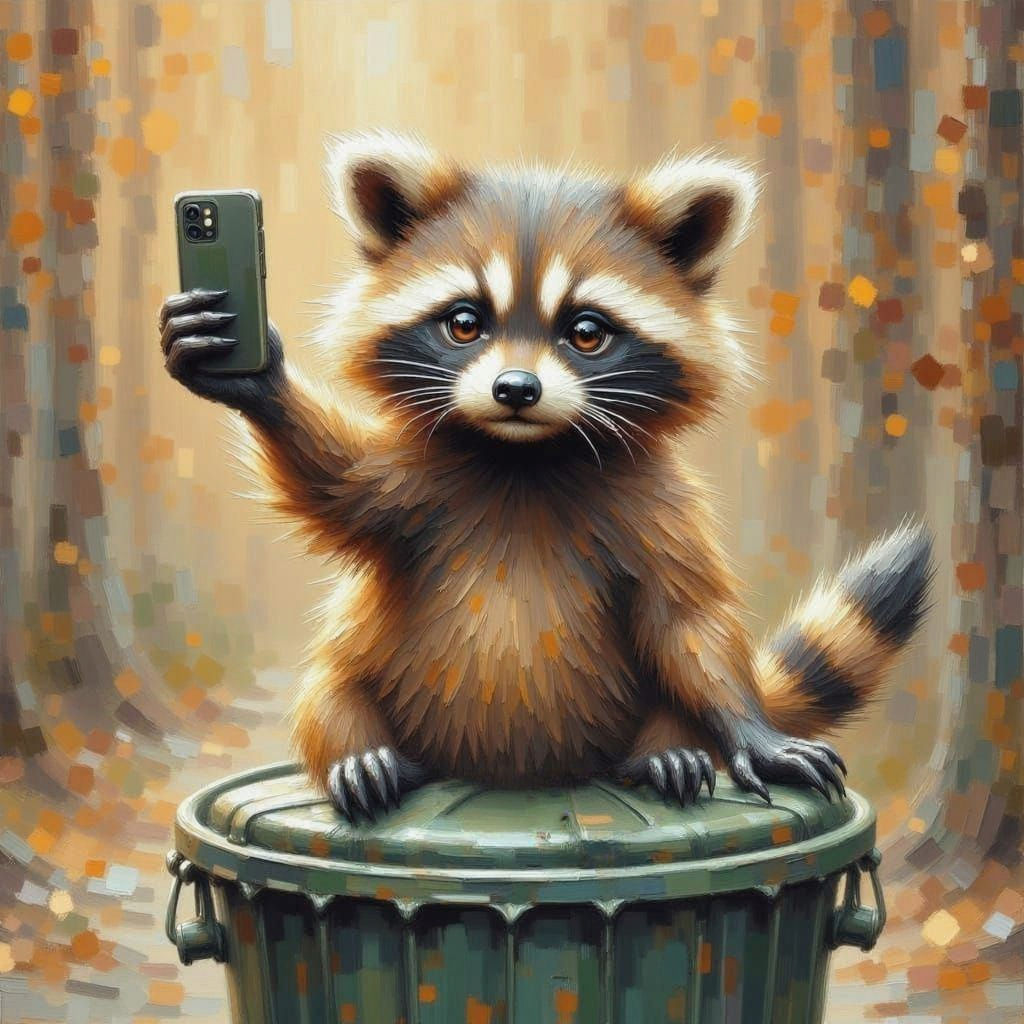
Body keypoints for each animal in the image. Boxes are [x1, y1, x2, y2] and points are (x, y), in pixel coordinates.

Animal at [159, 130, 932, 820]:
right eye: (464, 323)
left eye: (586, 332)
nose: (516, 389)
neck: (525, 454)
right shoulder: (411, 476)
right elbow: (331, 479)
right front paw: (257, 377)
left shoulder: (659, 502)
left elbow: (691, 621)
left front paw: (750, 726)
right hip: (359, 670)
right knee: (329, 693)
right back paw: (358, 753)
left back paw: (667, 749)